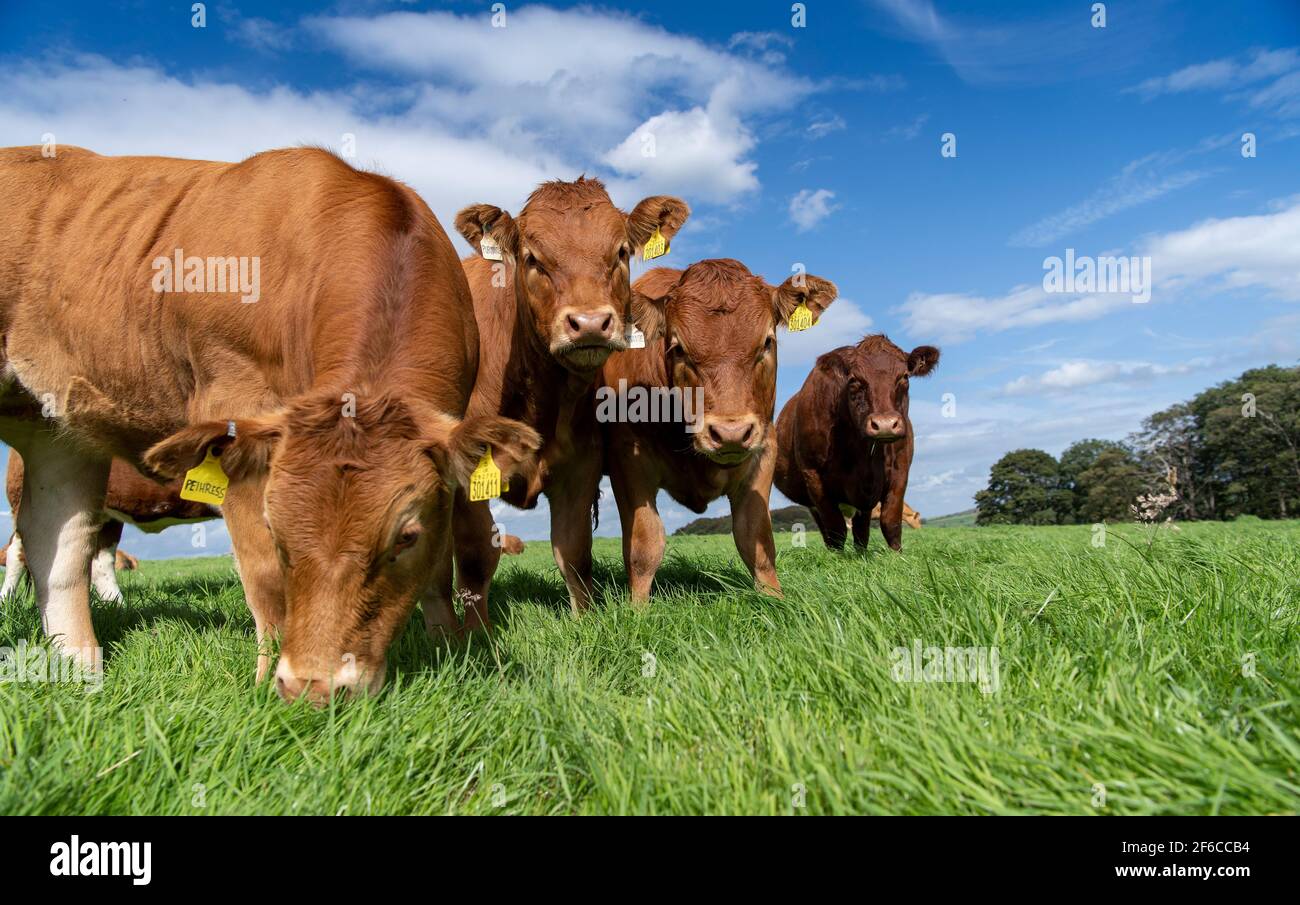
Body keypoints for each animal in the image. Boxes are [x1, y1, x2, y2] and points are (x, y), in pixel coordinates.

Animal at [431, 176, 691, 629]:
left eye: (621, 252)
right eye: (532, 258)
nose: (589, 323)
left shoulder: (579, 468)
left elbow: (573, 552)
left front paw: (583, 623)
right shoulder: (470, 474)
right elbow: (476, 556)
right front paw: (476, 634)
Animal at [595, 257, 832, 603]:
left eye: (767, 342)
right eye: (678, 348)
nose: (730, 433)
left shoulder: (764, 449)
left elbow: (756, 537)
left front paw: (774, 598)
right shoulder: (627, 457)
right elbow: (644, 544)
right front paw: (637, 609)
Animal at [774, 332, 941, 551]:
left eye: (904, 376)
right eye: (853, 380)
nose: (885, 424)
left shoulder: (900, 470)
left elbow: (890, 522)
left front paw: (897, 555)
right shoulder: (813, 475)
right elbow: (836, 529)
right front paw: (838, 557)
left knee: (861, 530)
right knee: (828, 531)